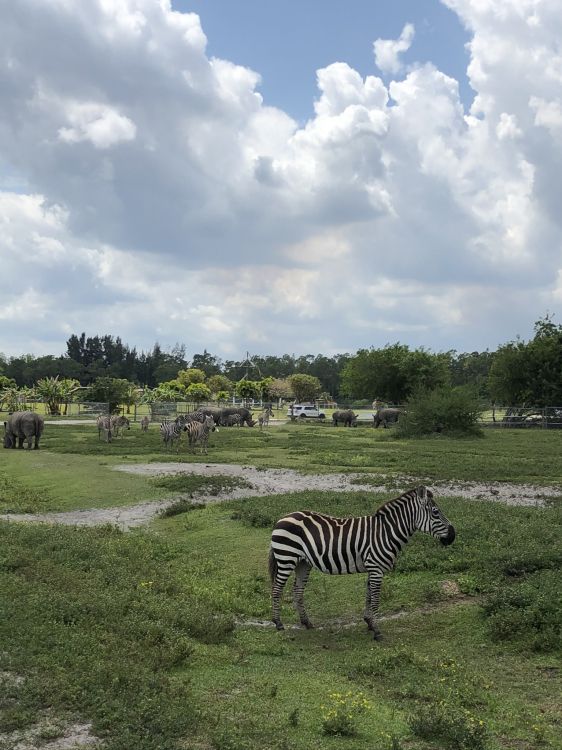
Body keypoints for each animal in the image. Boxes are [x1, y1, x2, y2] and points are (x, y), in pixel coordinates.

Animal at [268, 486, 455, 640]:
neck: (386, 532)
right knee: (277, 589)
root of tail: (282, 518)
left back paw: (306, 622)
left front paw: (369, 623)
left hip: (303, 562)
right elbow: (376, 599)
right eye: (436, 512)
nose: (453, 536)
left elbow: (368, 595)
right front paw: (377, 631)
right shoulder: (376, 568)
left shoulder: (372, 567)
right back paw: (278, 623)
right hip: (286, 558)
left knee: (298, 590)